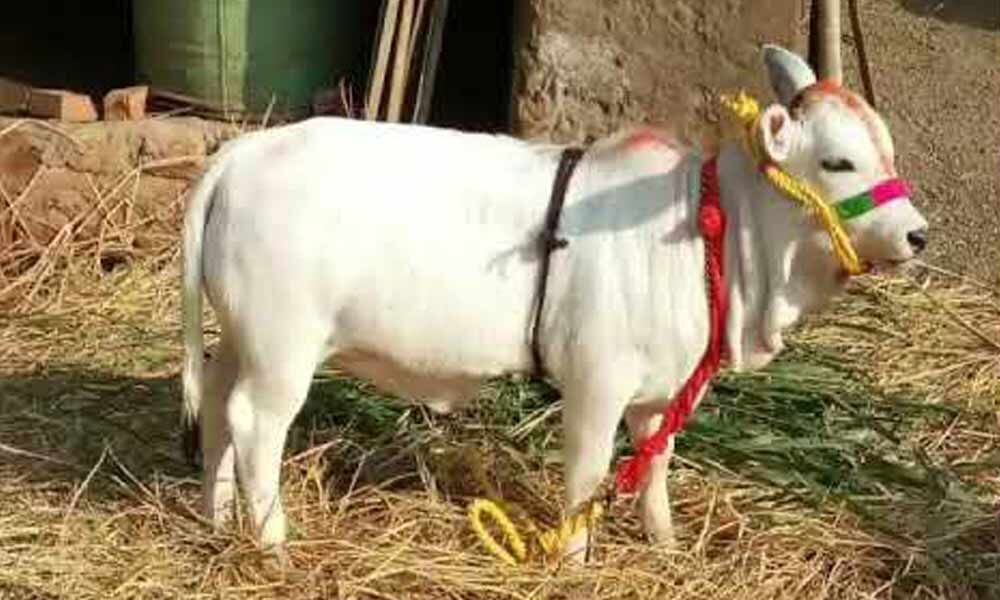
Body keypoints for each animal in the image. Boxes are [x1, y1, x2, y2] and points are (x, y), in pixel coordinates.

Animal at [180, 45, 928, 564]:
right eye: (838, 162)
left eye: (888, 149)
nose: (917, 234)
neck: (709, 232)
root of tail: (246, 150)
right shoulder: (597, 379)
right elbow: (588, 473)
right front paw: (574, 558)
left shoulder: (662, 389)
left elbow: (655, 464)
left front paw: (665, 545)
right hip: (284, 347)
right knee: (255, 425)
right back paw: (273, 542)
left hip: (242, 337)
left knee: (214, 400)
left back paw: (216, 514)